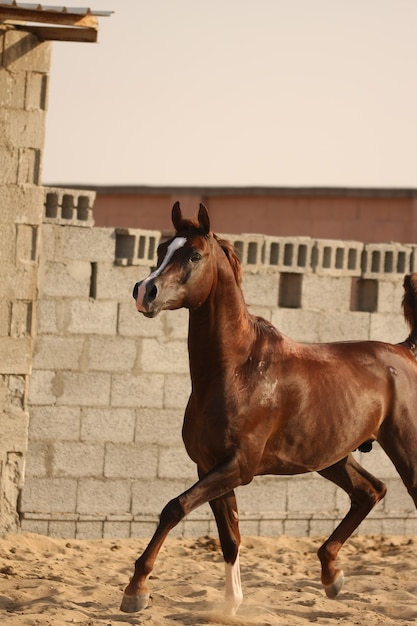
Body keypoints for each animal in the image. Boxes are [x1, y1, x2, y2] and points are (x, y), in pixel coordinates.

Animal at [121, 202, 417, 612]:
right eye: (161, 249)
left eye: (194, 254)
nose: (144, 291)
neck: (238, 370)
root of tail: (405, 351)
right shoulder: (208, 466)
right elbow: (229, 537)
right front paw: (230, 606)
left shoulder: (238, 466)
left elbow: (174, 508)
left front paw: (135, 590)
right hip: (332, 457)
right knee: (369, 491)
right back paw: (331, 576)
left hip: (404, 449)